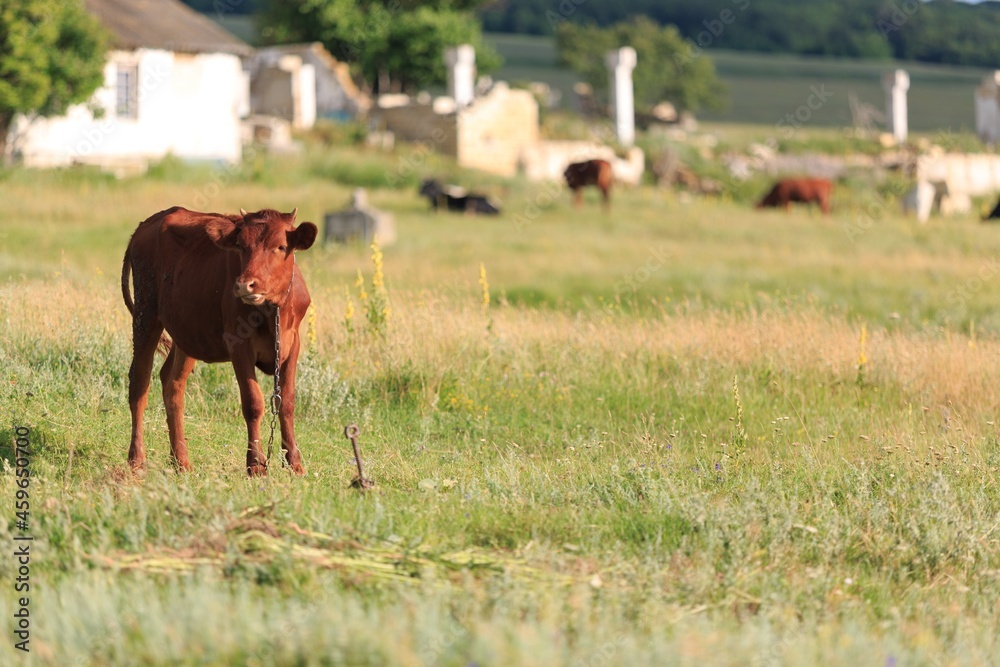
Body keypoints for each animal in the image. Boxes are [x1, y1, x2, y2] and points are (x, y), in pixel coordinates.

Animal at [121, 207, 316, 474]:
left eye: (280, 246)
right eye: (241, 246)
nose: (245, 284)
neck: (272, 312)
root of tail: (149, 222)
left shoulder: (292, 343)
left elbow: (286, 402)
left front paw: (295, 464)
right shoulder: (238, 344)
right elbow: (253, 403)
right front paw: (256, 465)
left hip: (186, 331)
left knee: (172, 383)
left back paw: (181, 460)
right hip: (146, 313)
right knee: (139, 383)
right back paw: (136, 459)